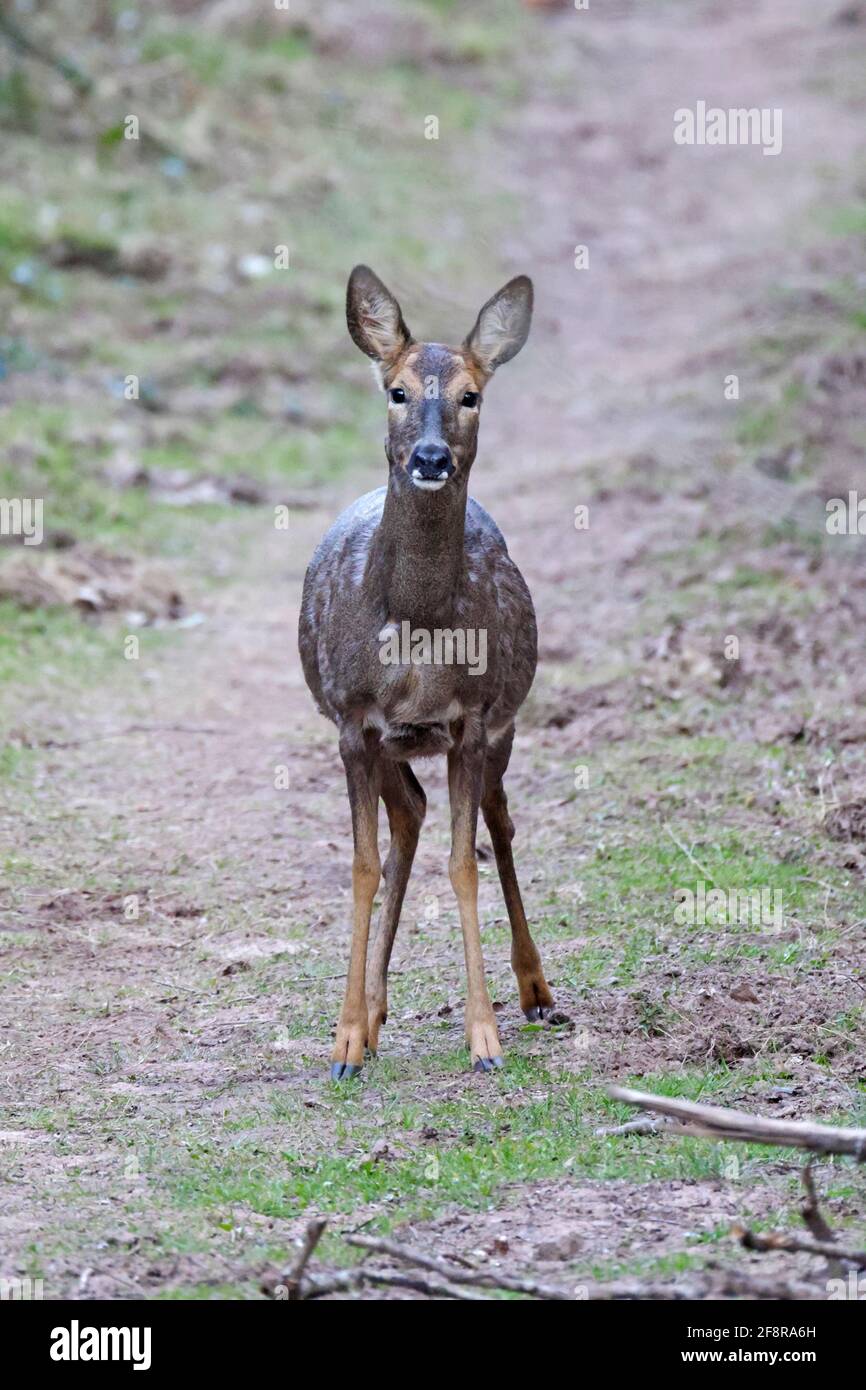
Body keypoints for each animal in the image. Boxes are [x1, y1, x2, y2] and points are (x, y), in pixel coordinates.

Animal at [298, 265, 553, 1078]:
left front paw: (484, 1039)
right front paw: (345, 1040)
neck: (416, 629)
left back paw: (535, 990)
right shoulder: (351, 719)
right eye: (397, 389)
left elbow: (464, 861)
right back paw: (375, 1015)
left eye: (472, 395)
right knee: (407, 817)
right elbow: (362, 866)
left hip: (503, 723)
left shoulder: (471, 719)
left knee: (498, 822)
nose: (432, 459)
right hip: (390, 741)